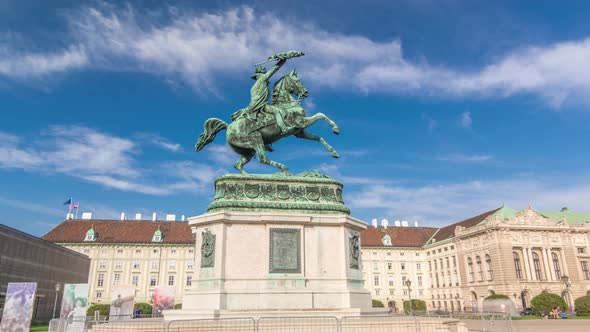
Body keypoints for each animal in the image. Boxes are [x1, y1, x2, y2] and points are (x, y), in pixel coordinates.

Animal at [197, 69, 340, 174]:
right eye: (297, 80)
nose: (305, 92)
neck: (287, 104)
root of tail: (228, 127)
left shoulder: (300, 132)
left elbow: (319, 137)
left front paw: (334, 152)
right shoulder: (301, 122)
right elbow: (321, 115)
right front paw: (335, 128)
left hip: (247, 151)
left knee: (238, 165)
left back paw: (248, 177)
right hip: (256, 141)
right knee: (263, 159)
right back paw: (283, 169)